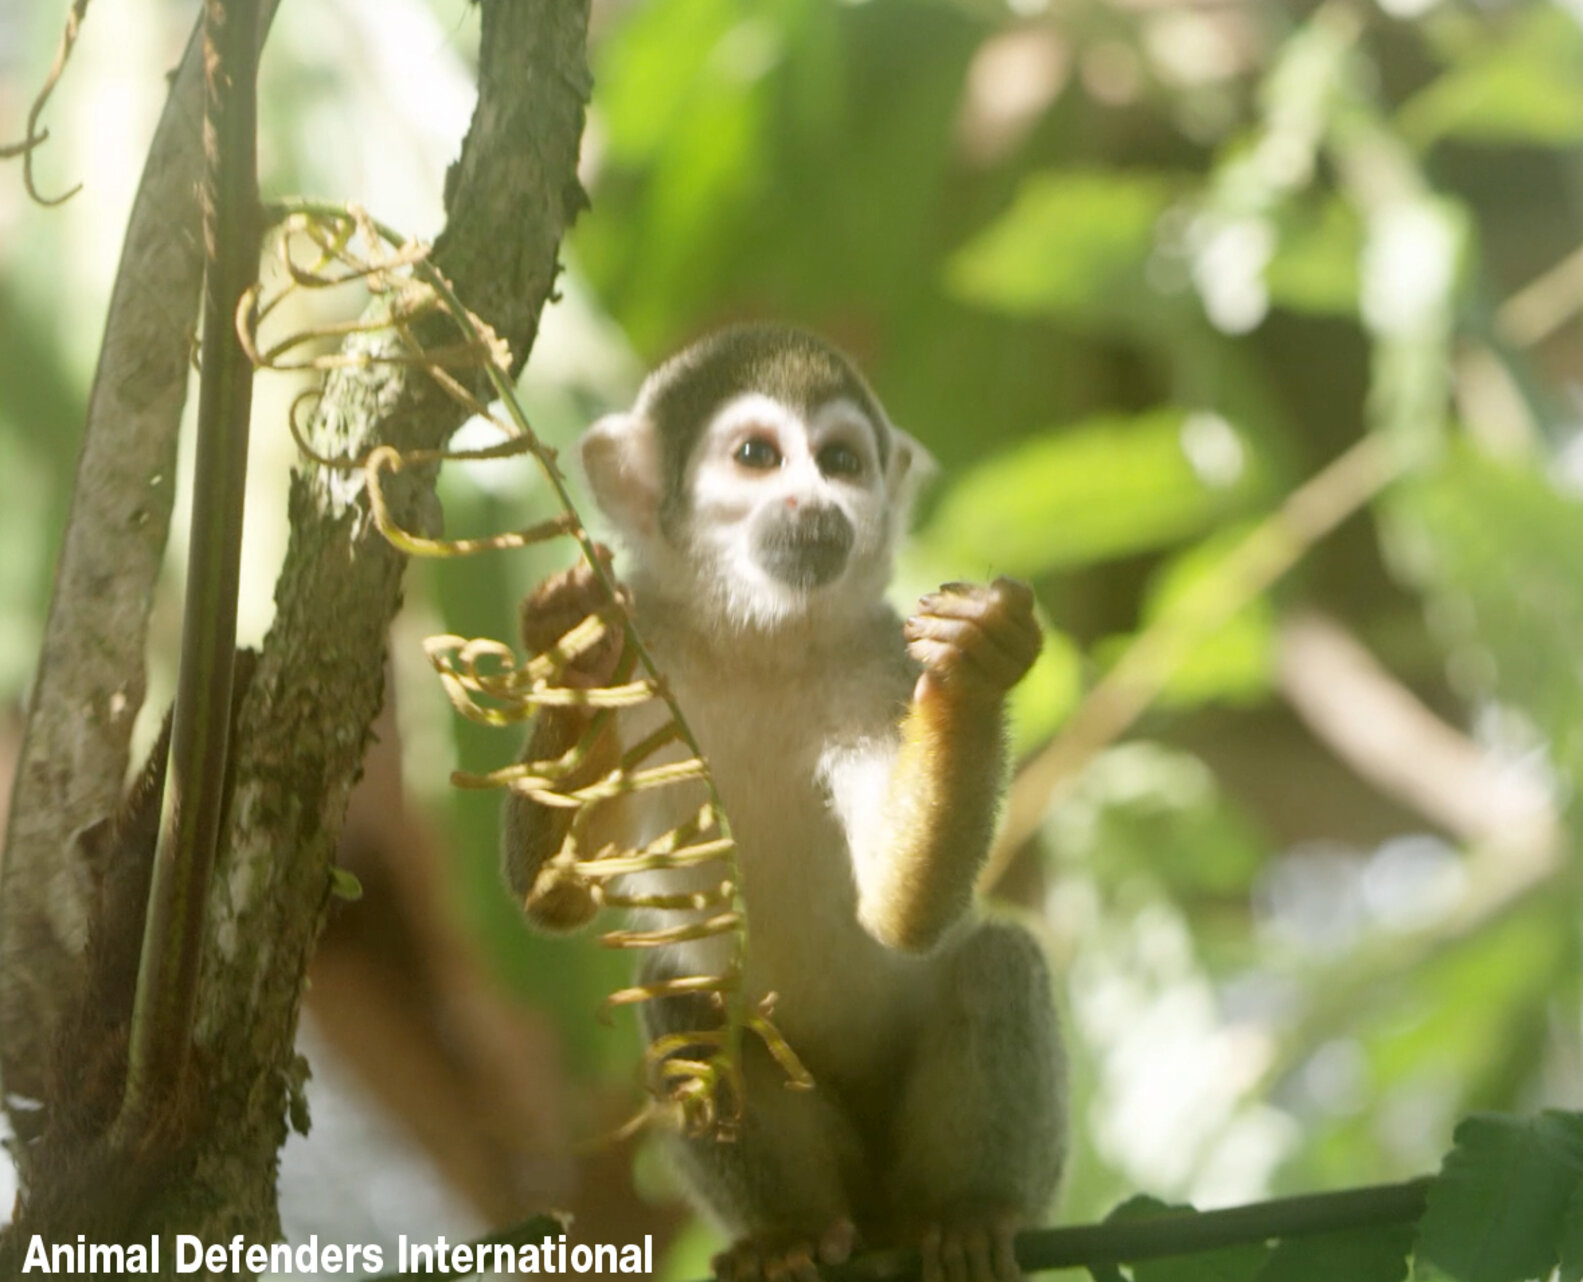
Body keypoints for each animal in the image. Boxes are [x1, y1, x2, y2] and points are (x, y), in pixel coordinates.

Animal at [502, 325, 1065, 1282]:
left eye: (840, 462)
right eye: (757, 457)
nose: (815, 500)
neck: (756, 639)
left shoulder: (879, 666)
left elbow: (902, 912)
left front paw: (976, 666)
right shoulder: (646, 644)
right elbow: (555, 897)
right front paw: (569, 653)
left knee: (995, 958)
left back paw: (966, 1213)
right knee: (684, 997)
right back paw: (790, 1233)